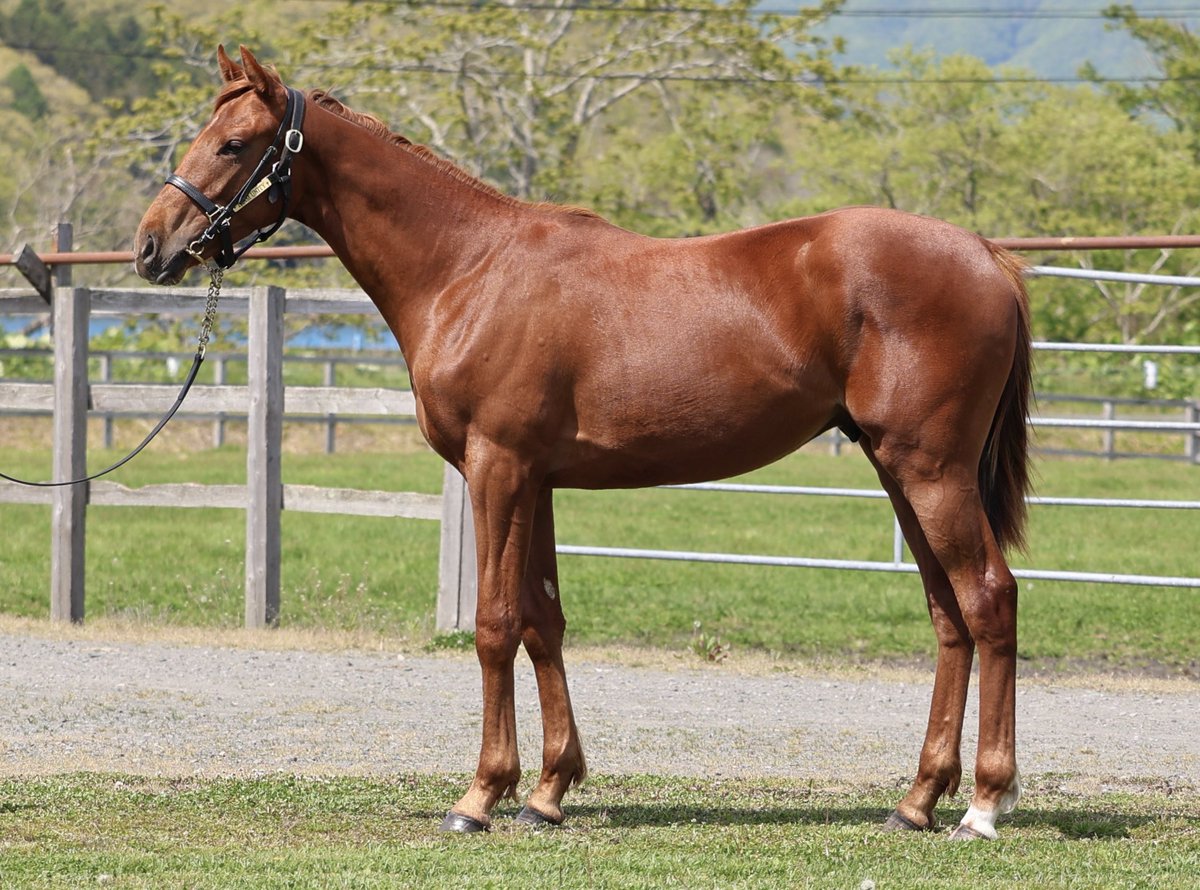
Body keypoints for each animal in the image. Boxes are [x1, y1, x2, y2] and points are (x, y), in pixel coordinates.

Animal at [134, 46, 1032, 841]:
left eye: (233, 144)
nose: (151, 246)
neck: (470, 268)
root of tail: (986, 254)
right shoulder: (536, 481)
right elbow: (544, 621)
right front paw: (547, 791)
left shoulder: (498, 469)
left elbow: (495, 623)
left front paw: (480, 796)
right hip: (899, 471)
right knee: (949, 616)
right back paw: (917, 801)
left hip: (932, 472)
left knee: (989, 599)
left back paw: (983, 806)